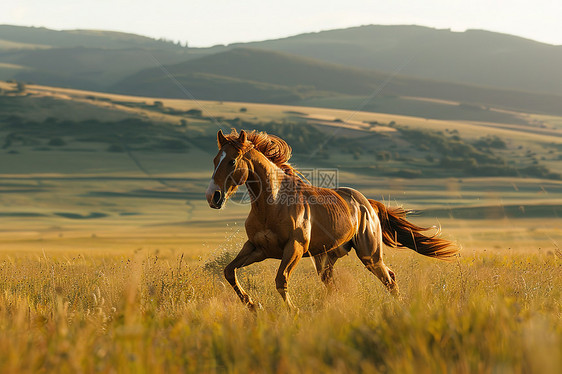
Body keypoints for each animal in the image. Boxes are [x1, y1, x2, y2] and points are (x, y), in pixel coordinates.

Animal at [205, 130, 456, 312]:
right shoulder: (257, 249)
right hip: (326, 258)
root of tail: (367, 204)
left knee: (388, 279)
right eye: (215, 160)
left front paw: (293, 311)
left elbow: (281, 280)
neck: (273, 203)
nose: (212, 196)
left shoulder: (294, 248)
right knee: (336, 286)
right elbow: (229, 271)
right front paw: (253, 305)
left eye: (233, 161)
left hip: (369, 254)